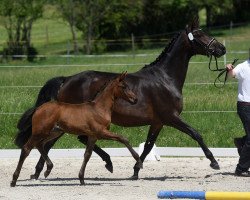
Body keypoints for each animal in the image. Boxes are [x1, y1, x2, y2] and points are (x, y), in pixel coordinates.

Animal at [11, 72, 141, 187]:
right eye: (123, 86)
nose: (135, 99)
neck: (99, 108)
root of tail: (38, 109)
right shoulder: (101, 132)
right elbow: (123, 138)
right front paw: (138, 161)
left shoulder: (93, 136)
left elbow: (87, 155)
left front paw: (81, 179)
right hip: (40, 132)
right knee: (26, 148)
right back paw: (14, 180)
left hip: (53, 132)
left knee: (40, 145)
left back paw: (48, 170)